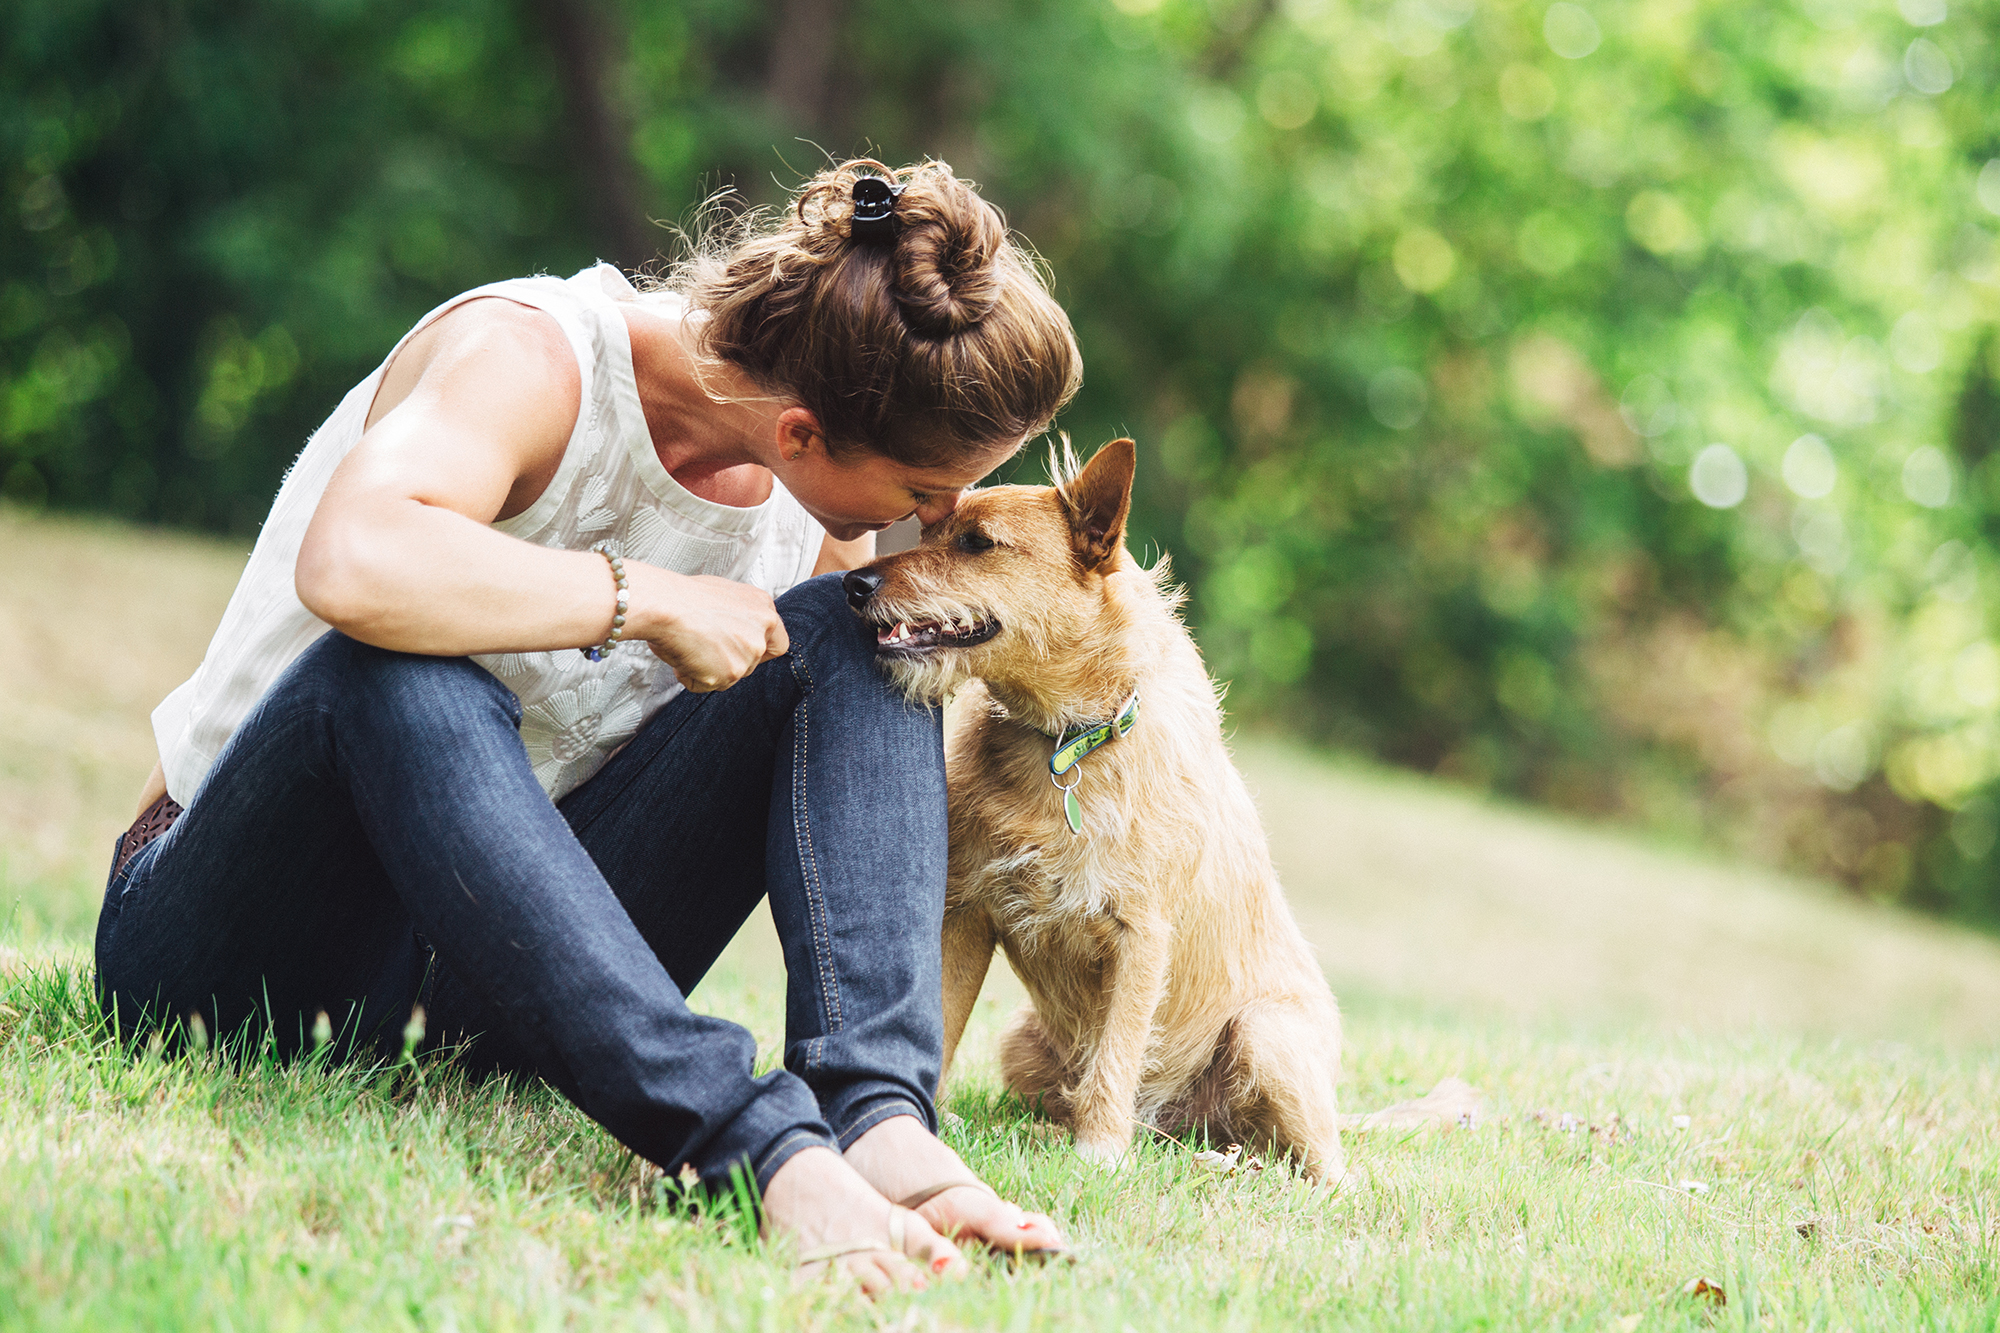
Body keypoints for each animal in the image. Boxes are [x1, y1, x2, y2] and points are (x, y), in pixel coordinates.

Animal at [844, 436, 1344, 1176]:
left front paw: (1100, 1154)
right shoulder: (965, 914)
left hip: (1265, 1033)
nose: (853, 585)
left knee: (1327, 1169)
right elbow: (943, 1022)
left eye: (976, 542)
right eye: (929, 532)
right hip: (1021, 1042)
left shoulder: (1140, 937)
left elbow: (1116, 1053)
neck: (1066, 742)